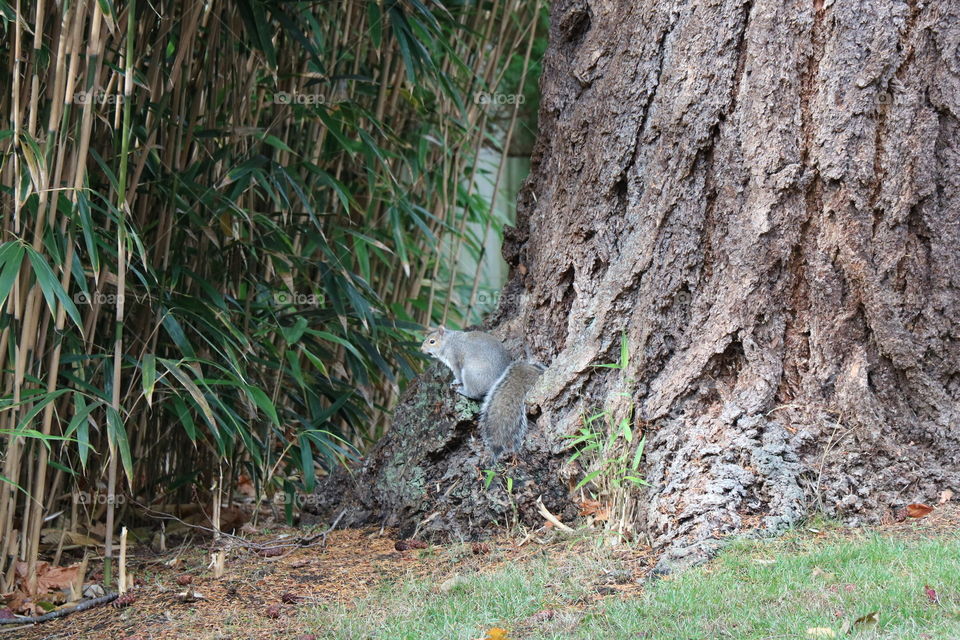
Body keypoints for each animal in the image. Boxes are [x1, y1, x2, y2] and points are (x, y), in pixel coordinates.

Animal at [422, 328, 544, 462]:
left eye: (432, 341)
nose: (421, 350)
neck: (449, 341)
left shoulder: (454, 359)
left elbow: (458, 374)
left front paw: (455, 382)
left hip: (470, 373)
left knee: (474, 393)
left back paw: (462, 390)